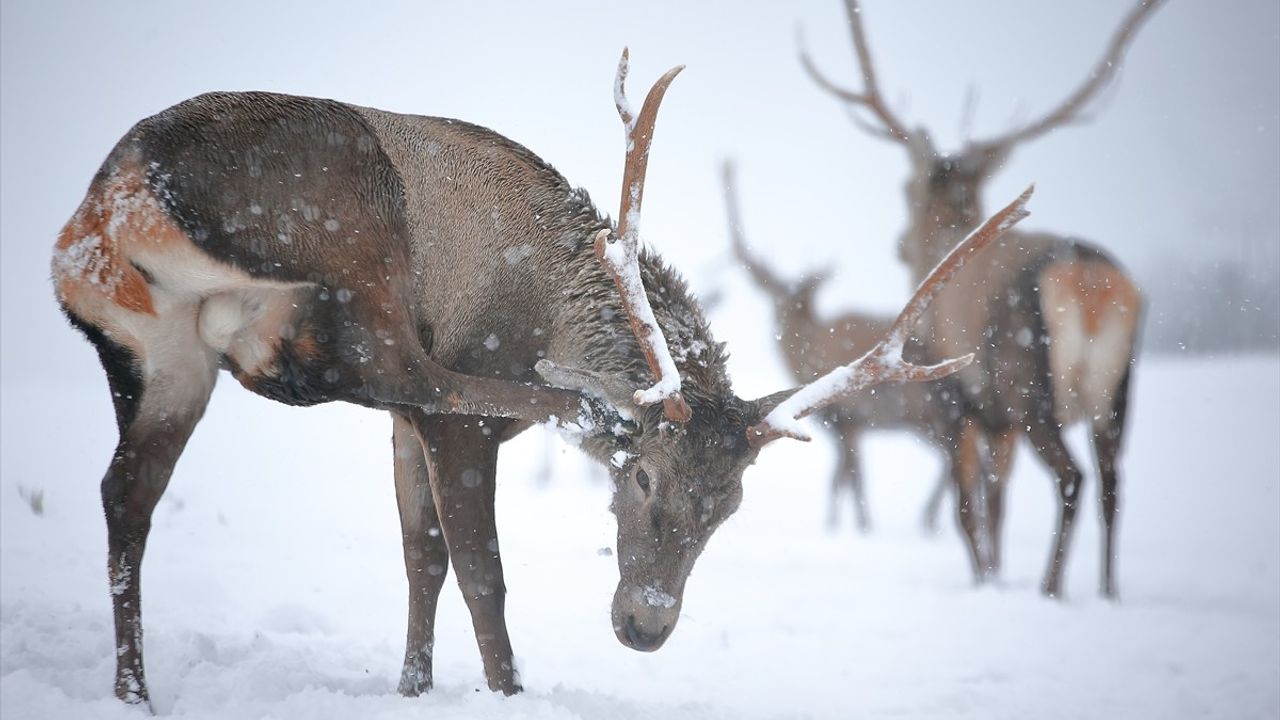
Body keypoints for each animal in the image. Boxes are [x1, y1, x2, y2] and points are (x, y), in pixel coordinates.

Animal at [721, 162, 952, 532]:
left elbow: (849, 476)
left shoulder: (850, 417)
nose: (781, 322)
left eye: (799, 302)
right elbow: (845, 475)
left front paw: (856, 526)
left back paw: (929, 517)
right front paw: (846, 523)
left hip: (928, 413)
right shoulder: (841, 425)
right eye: (779, 298)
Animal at [798, 0, 1162, 594]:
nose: (899, 244)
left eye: (907, 188)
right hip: (1118, 391)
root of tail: (1090, 283)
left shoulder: (956, 397)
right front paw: (995, 574)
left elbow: (967, 506)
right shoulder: (998, 419)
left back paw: (1050, 590)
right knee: (1113, 484)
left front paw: (984, 579)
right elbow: (998, 499)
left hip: (1030, 383)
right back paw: (1108, 593)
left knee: (1072, 478)